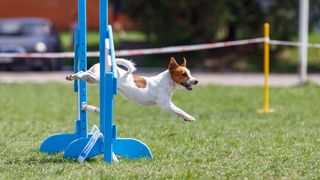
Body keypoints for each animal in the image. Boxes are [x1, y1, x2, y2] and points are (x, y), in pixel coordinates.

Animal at [66, 57, 199, 122]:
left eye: (190, 74)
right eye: (183, 74)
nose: (196, 81)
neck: (167, 81)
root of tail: (101, 64)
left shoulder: (168, 105)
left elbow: (178, 112)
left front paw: (185, 118)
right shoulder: (166, 105)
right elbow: (180, 110)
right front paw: (189, 117)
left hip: (93, 80)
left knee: (83, 72)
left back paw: (73, 76)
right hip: (97, 77)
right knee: (85, 73)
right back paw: (74, 76)